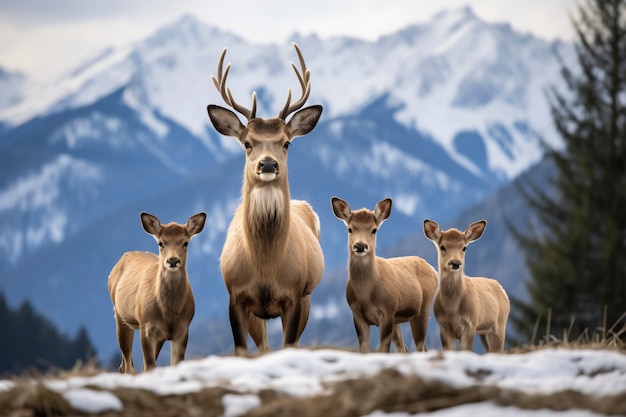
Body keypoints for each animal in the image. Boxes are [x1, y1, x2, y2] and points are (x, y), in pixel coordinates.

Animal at [106, 211, 205, 370]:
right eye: (160, 243)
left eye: (185, 242)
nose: (172, 260)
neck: (169, 313)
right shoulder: (146, 326)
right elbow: (150, 365)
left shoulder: (183, 329)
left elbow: (175, 363)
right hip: (120, 316)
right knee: (127, 366)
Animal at [207, 43, 324, 354]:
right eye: (247, 143)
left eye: (287, 143)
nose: (268, 164)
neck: (265, 266)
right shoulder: (235, 296)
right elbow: (241, 349)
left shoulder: (294, 295)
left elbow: (289, 344)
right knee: (263, 347)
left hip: (307, 297)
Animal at [330, 197, 436, 352]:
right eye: (350, 229)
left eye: (374, 230)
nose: (360, 246)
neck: (365, 294)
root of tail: (434, 270)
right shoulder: (357, 314)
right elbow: (364, 349)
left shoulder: (387, 311)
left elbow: (383, 349)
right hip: (398, 320)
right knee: (405, 349)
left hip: (422, 309)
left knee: (420, 348)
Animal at [422, 218, 510, 352]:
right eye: (442, 247)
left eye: (464, 248)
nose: (455, 263)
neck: (452, 308)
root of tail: (502, 289)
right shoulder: (443, 325)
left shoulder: (470, 324)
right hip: (484, 332)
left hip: (499, 325)